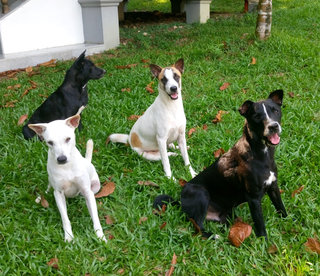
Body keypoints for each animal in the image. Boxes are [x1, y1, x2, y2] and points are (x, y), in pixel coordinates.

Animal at [28, 113, 107, 243]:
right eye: (50, 142)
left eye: (68, 139)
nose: (61, 159)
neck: (67, 167)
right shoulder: (58, 193)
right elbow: (65, 218)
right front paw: (69, 236)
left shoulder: (87, 191)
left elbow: (95, 218)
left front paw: (100, 236)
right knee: (48, 188)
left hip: (95, 186)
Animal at [154, 90, 288, 239]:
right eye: (257, 116)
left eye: (275, 110)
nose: (273, 126)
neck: (260, 153)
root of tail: (180, 202)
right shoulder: (253, 198)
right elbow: (260, 224)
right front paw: (264, 241)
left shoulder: (273, 186)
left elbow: (281, 207)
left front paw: (290, 222)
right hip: (201, 193)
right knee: (198, 227)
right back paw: (213, 236)